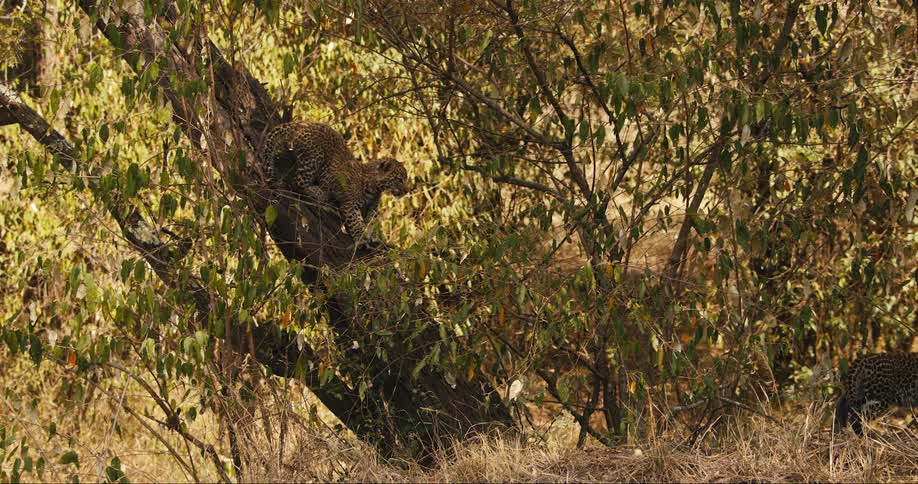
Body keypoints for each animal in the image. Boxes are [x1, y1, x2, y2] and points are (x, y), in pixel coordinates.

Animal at [260, 121, 408, 240]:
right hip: (313, 158)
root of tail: (303, 123)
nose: (407, 191)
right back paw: (322, 195)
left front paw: (371, 236)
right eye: (399, 179)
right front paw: (361, 239)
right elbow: (356, 223)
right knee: (299, 183)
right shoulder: (350, 205)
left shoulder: (372, 209)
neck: (375, 188)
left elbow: (370, 222)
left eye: (405, 179)